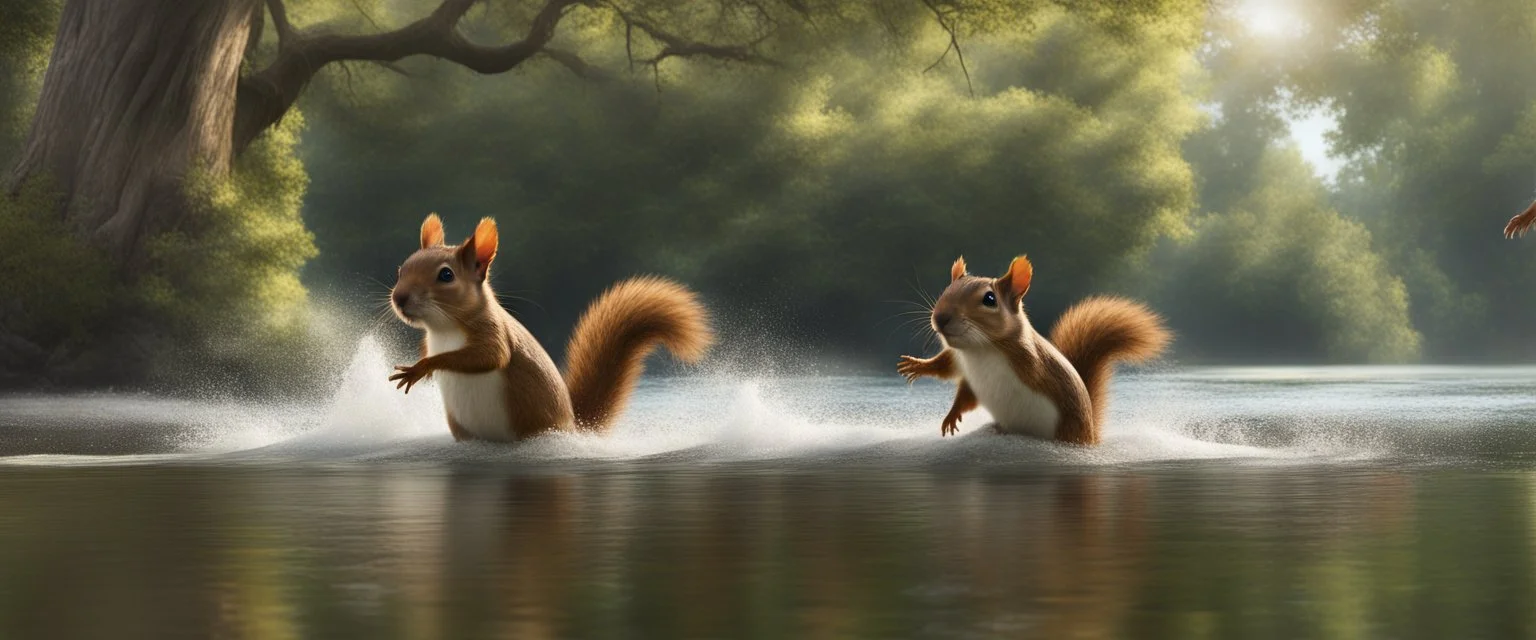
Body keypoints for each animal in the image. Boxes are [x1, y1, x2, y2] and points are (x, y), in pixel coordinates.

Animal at [388, 214, 713, 442]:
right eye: (401, 268)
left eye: (446, 275)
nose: (399, 298)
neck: (443, 329)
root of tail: (574, 427)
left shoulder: (493, 333)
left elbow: (488, 356)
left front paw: (421, 368)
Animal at [897, 255, 1169, 445]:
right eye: (946, 290)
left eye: (989, 299)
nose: (940, 318)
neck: (978, 350)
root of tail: (1091, 435)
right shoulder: (963, 366)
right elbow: (956, 383)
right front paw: (919, 367)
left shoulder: (1030, 362)